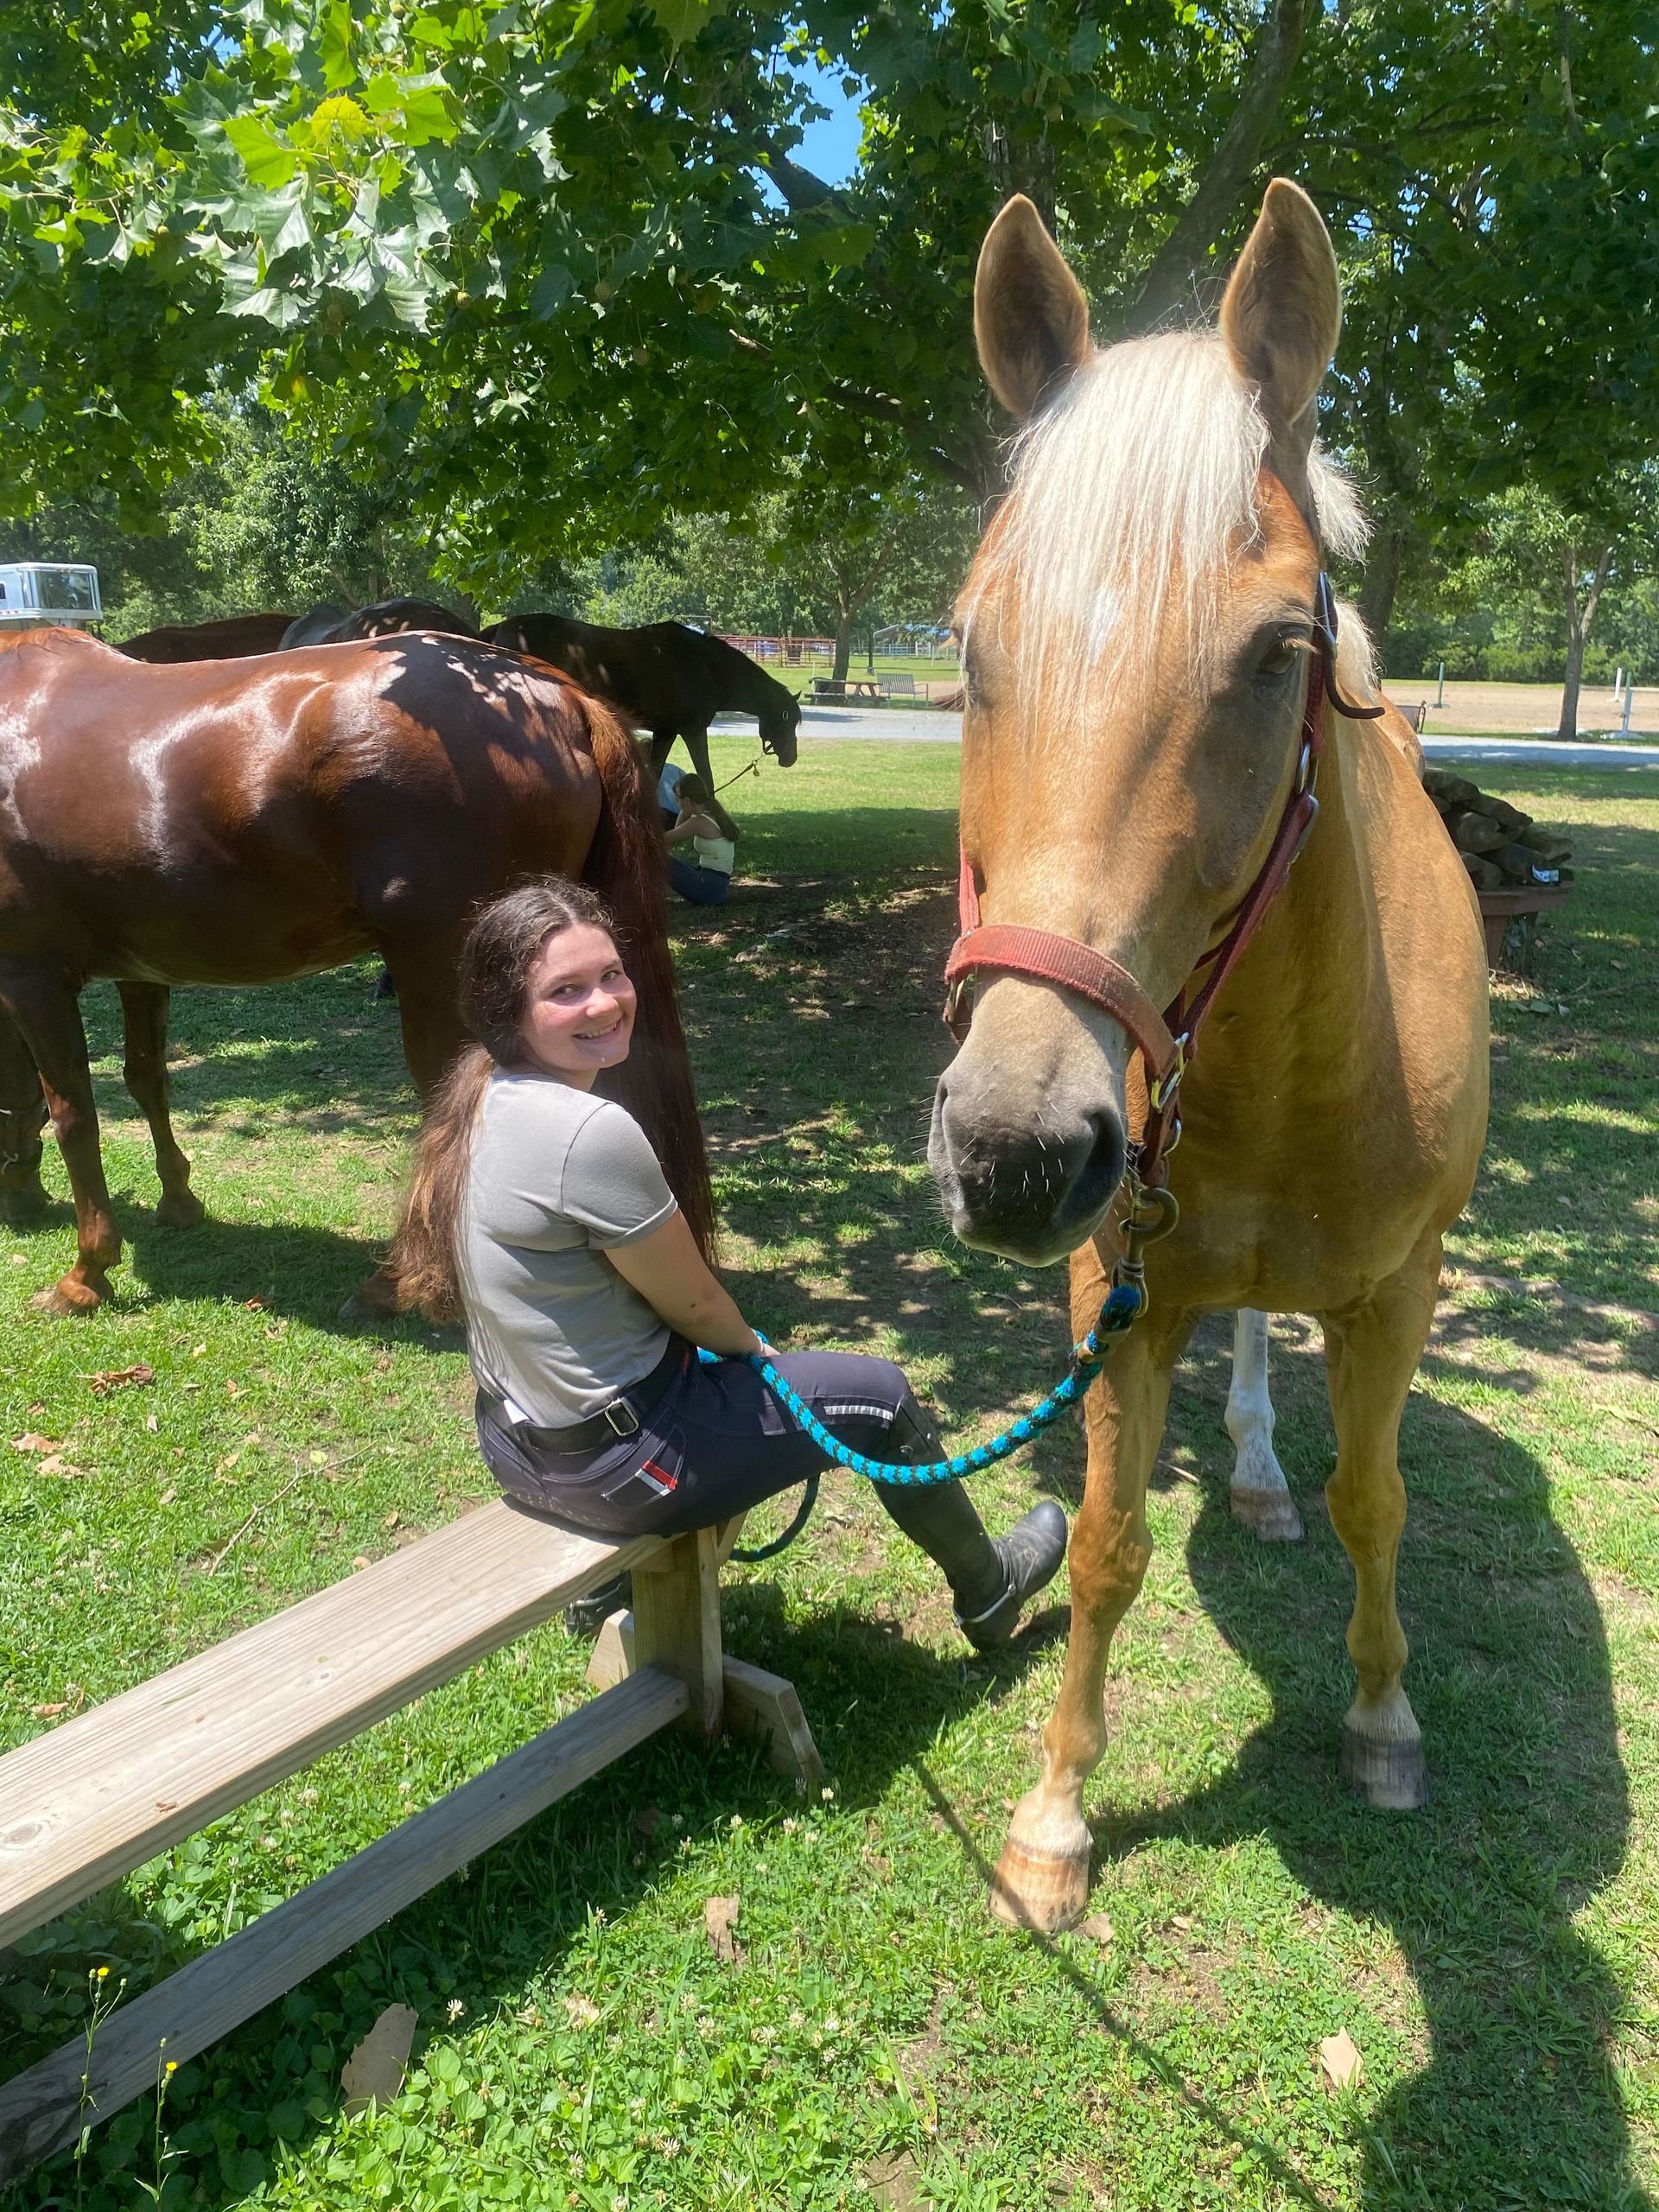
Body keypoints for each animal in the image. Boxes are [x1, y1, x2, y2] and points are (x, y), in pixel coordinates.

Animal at [0, 627, 712, 1315]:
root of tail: (556, 697)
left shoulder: (32, 979)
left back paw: (396, 1285)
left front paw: (86, 1272)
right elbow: (147, 1080)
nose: (20, 1206)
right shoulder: (143, 971)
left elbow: (72, 1111)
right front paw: (177, 1202)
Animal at [486, 615, 802, 787]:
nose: (791, 758)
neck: (704, 666)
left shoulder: (665, 732)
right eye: (789, 722)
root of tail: (501, 628)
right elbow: (706, 778)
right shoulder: (692, 730)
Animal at [930, 181, 1488, 1933]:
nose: (1015, 1150)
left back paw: (1256, 1474)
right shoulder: (1115, 1292)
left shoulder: (1398, 1293)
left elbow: (1377, 1504)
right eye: (967, 644)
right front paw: (1053, 1821)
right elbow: (1107, 1545)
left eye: (1273, 654)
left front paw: (1387, 1722)